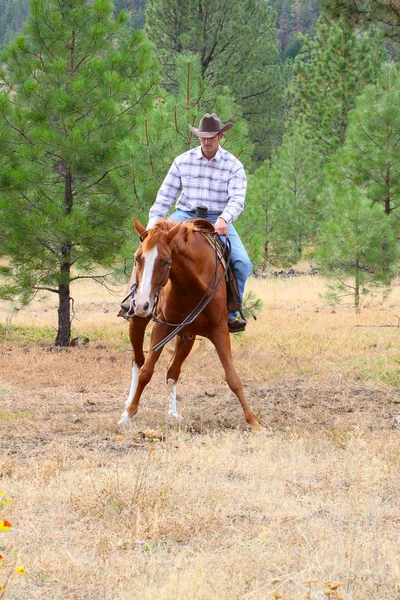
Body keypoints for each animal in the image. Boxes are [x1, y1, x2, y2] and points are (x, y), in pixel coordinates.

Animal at [117, 218, 264, 434]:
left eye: (166, 261)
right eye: (137, 258)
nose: (142, 304)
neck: (190, 285)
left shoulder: (219, 330)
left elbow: (233, 377)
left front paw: (253, 421)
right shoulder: (162, 327)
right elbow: (146, 371)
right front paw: (128, 414)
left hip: (187, 335)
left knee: (173, 370)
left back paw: (173, 413)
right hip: (138, 323)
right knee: (138, 360)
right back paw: (128, 402)